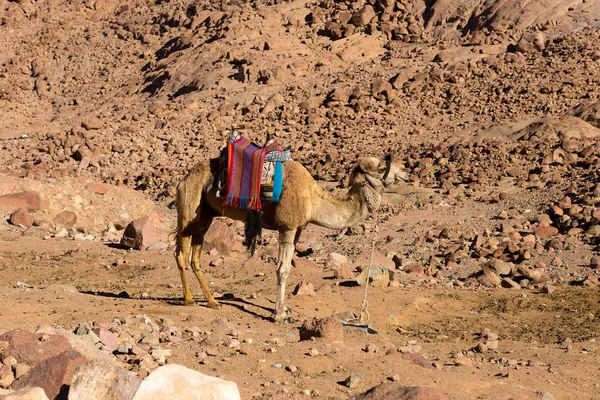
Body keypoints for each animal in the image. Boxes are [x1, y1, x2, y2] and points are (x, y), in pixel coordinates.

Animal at [173, 153, 408, 322]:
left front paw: (285, 310)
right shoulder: (287, 227)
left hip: (206, 214)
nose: (406, 170)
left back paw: (213, 301)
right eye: (381, 168)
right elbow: (282, 269)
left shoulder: (298, 230)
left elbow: (287, 267)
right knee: (181, 252)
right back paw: (188, 300)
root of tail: (184, 179)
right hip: (189, 209)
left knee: (195, 256)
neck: (315, 201)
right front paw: (279, 315)